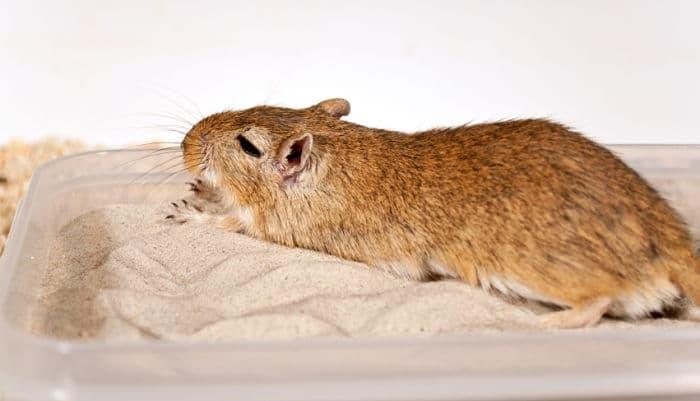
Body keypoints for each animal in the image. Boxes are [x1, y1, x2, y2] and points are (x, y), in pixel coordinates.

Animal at [167, 98, 700, 329]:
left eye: (247, 145)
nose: (186, 144)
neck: (336, 155)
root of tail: (672, 239)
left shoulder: (274, 225)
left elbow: (228, 222)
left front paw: (188, 209)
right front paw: (194, 190)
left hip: (542, 271)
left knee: (599, 301)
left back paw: (535, 325)